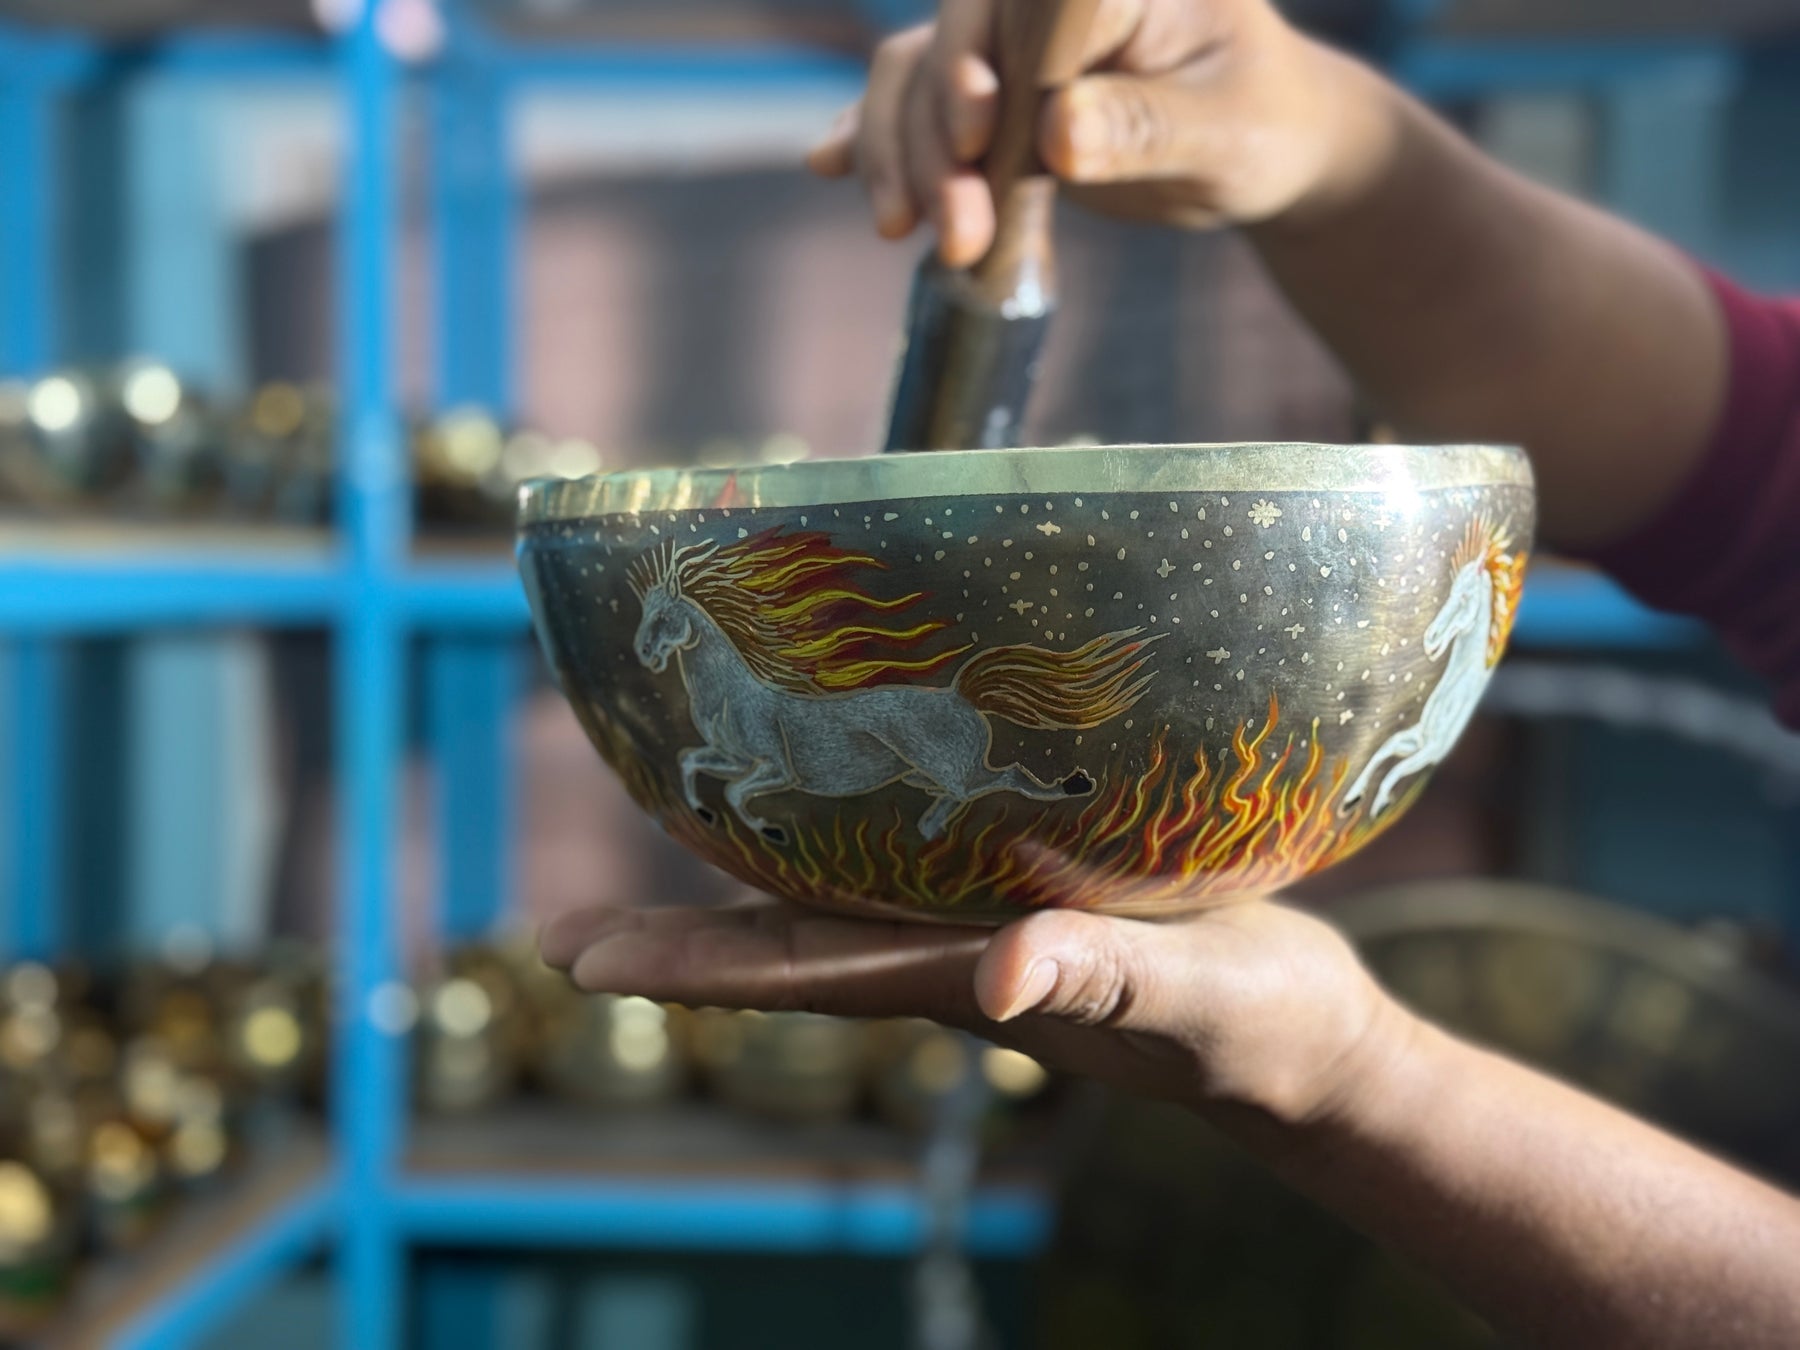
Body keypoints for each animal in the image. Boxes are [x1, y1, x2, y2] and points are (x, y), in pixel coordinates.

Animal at [630, 539, 1161, 844]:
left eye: (664, 617)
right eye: (645, 612)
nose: (643, 653)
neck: (730, 698)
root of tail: (959, 696)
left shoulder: (775, 768)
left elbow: (737, 793)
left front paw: (772, 831)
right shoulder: (731, 758)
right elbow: (690, 762)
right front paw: (704, 812)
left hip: (950, 767)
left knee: (1001, 778)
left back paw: (1068, 788)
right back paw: (929, 831)